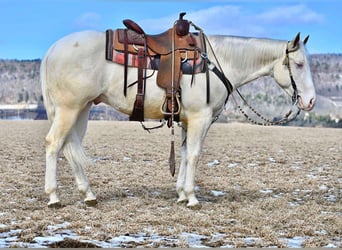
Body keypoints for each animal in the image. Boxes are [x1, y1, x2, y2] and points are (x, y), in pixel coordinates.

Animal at [41, 30, 316, 208]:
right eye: (299, 64)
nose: (311, 101)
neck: (217, 63)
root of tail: (52, 50)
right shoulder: (200, 118)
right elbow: (194, 155)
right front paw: (192, 198)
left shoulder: (186, 121)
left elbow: (183, 154)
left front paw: (182, 194)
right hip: (69, 109)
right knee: (54, 144)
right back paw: (54, 197)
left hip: (82, 110)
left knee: (69, 147)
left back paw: (88, 194)